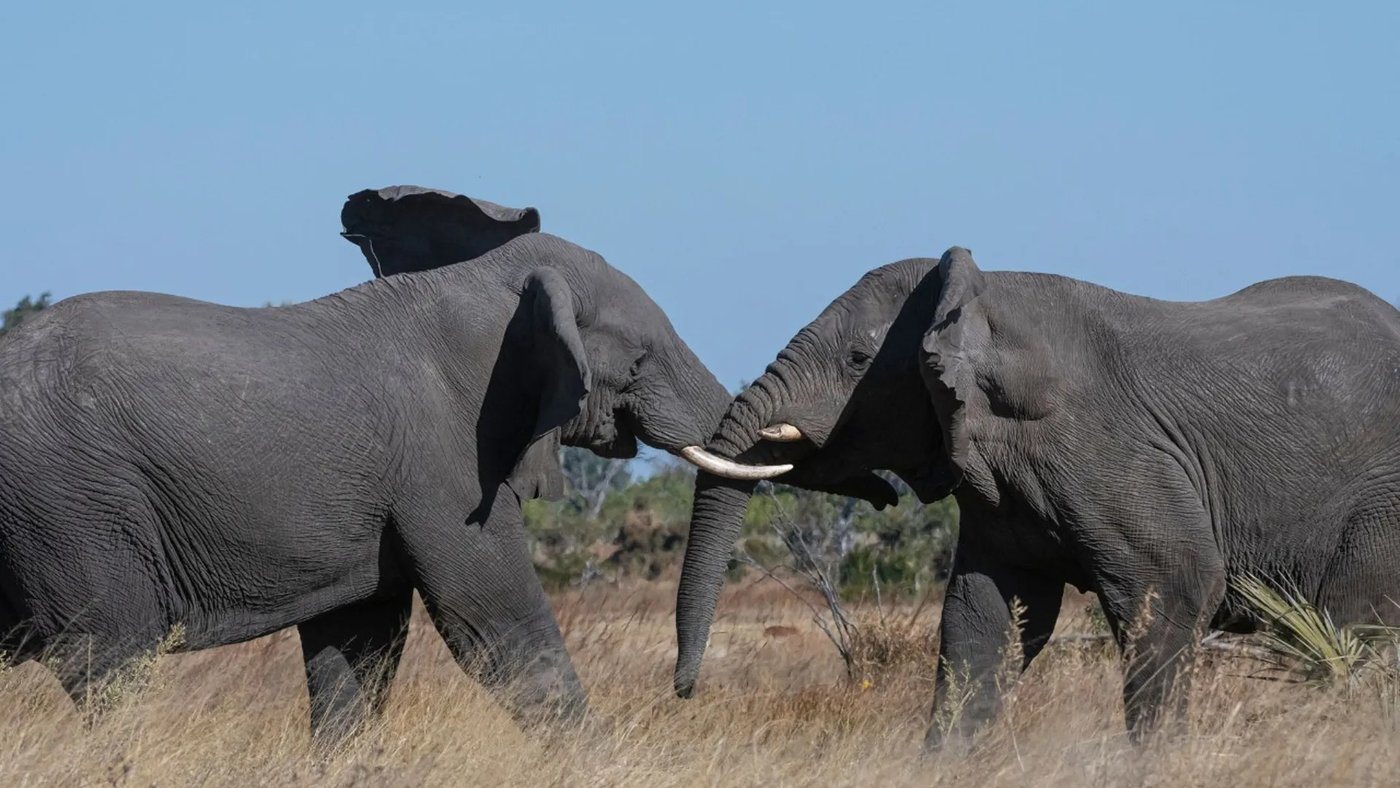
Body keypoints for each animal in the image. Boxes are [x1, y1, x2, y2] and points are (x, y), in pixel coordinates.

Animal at [0, 188, 773, 744]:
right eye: (639, 360)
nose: (683, 691)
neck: (494, 284)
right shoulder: (446, 455)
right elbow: (495, 623)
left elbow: (359, 644)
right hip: (70, 508)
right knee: (114, 662)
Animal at [673, 246, 1400, 744]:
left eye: (856, 361)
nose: (684, 693)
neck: (980, 301)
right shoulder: (1005, 487)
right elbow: (982, 616)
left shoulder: (1109, 450)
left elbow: (1177, 583)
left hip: (1381, 506)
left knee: (1352, 624)